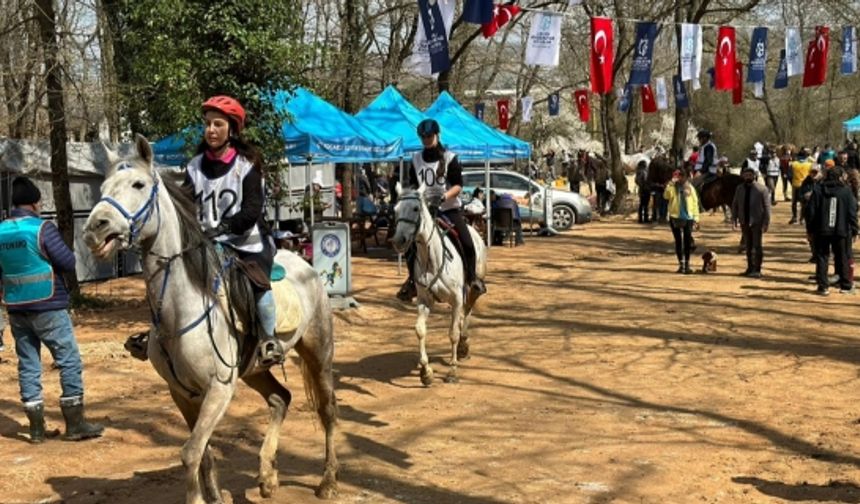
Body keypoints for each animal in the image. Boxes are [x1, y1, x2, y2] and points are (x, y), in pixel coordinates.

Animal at [83, 135, 340, 504]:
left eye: (138, 184)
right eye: (102, 187)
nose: (94, 228)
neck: (179, 311)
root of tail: (305, 265)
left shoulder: (218, 389)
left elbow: (190, 452)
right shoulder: (182, 392)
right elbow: (202, 451)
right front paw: (217, 496)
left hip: (319, 353)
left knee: (328, 409)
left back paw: (328, 481)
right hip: (254, 369)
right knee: (280, 399)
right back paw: (267, 477)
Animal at [394, 185, 488, 386]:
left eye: (416, 208)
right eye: (395, 210)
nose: (398, 240)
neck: (432, 258)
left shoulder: (456, 299)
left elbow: (453, 333)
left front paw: (452, 371)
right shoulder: (424, 301)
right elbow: (420, 330)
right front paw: (426, 372)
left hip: (472, 288)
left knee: (467, 312)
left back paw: (463, 346)